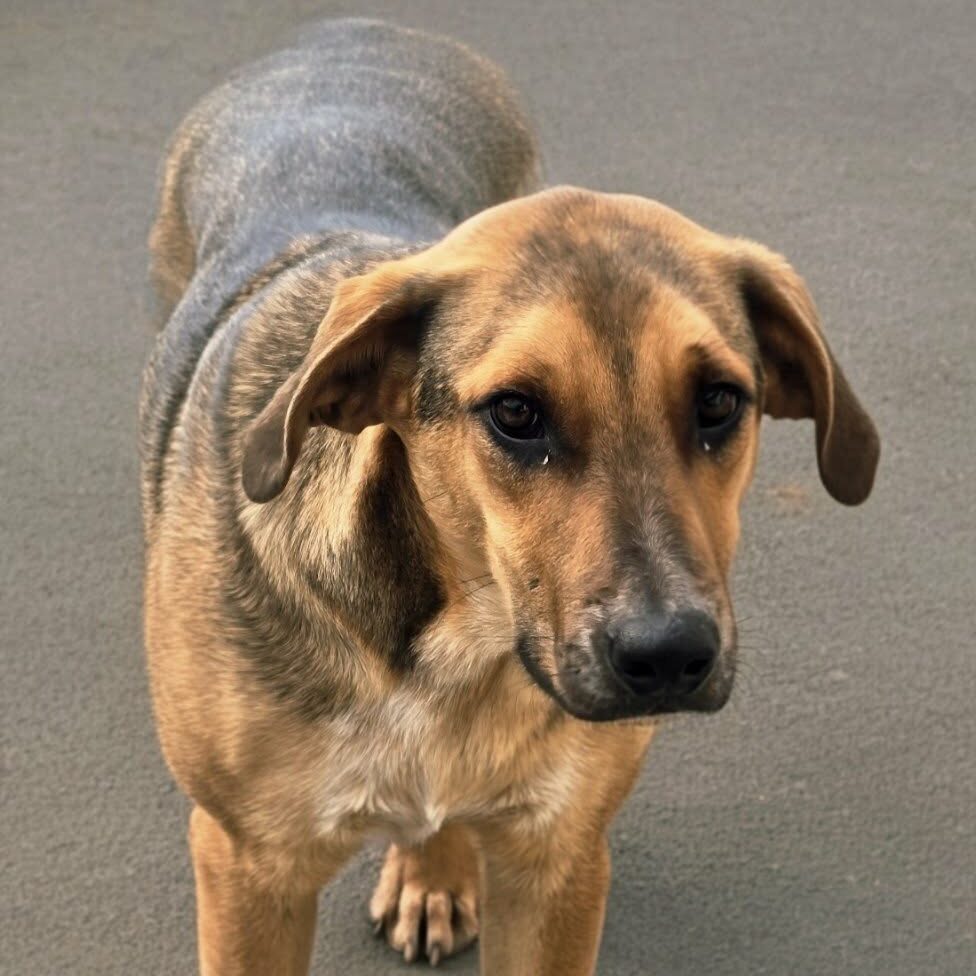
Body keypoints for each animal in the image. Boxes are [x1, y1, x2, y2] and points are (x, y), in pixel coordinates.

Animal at [140, 18, 879, 975]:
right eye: (517, 413)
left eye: (720, 402)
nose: (668, 656)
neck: (456, 653)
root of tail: (355, 28)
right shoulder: (250, 870)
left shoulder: (558, 862)